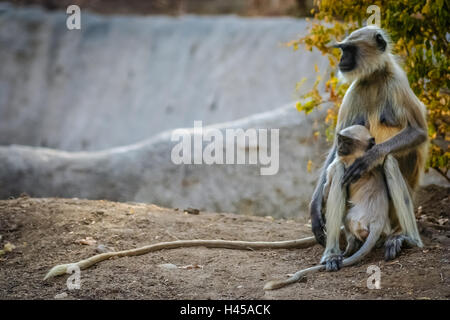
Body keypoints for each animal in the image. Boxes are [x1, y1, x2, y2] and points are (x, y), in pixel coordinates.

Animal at [264, 125, 390, 290]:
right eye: (341, 140)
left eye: (347, 142)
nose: (340, 147)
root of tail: (378, 220)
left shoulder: (339, 163)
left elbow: (328, 187)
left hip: (355, 221)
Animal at [312, 25, 428, 270]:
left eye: (348, 50)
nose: (341, 60)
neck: (375, 77)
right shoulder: (354, 91)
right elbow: (335, 152)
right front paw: (315, 210)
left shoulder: (398, 83)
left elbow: (419, 132)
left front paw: (369, 158)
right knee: (340, 168)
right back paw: (334, 253)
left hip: (393, 212)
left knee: (389, 161)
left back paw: (408, 239)